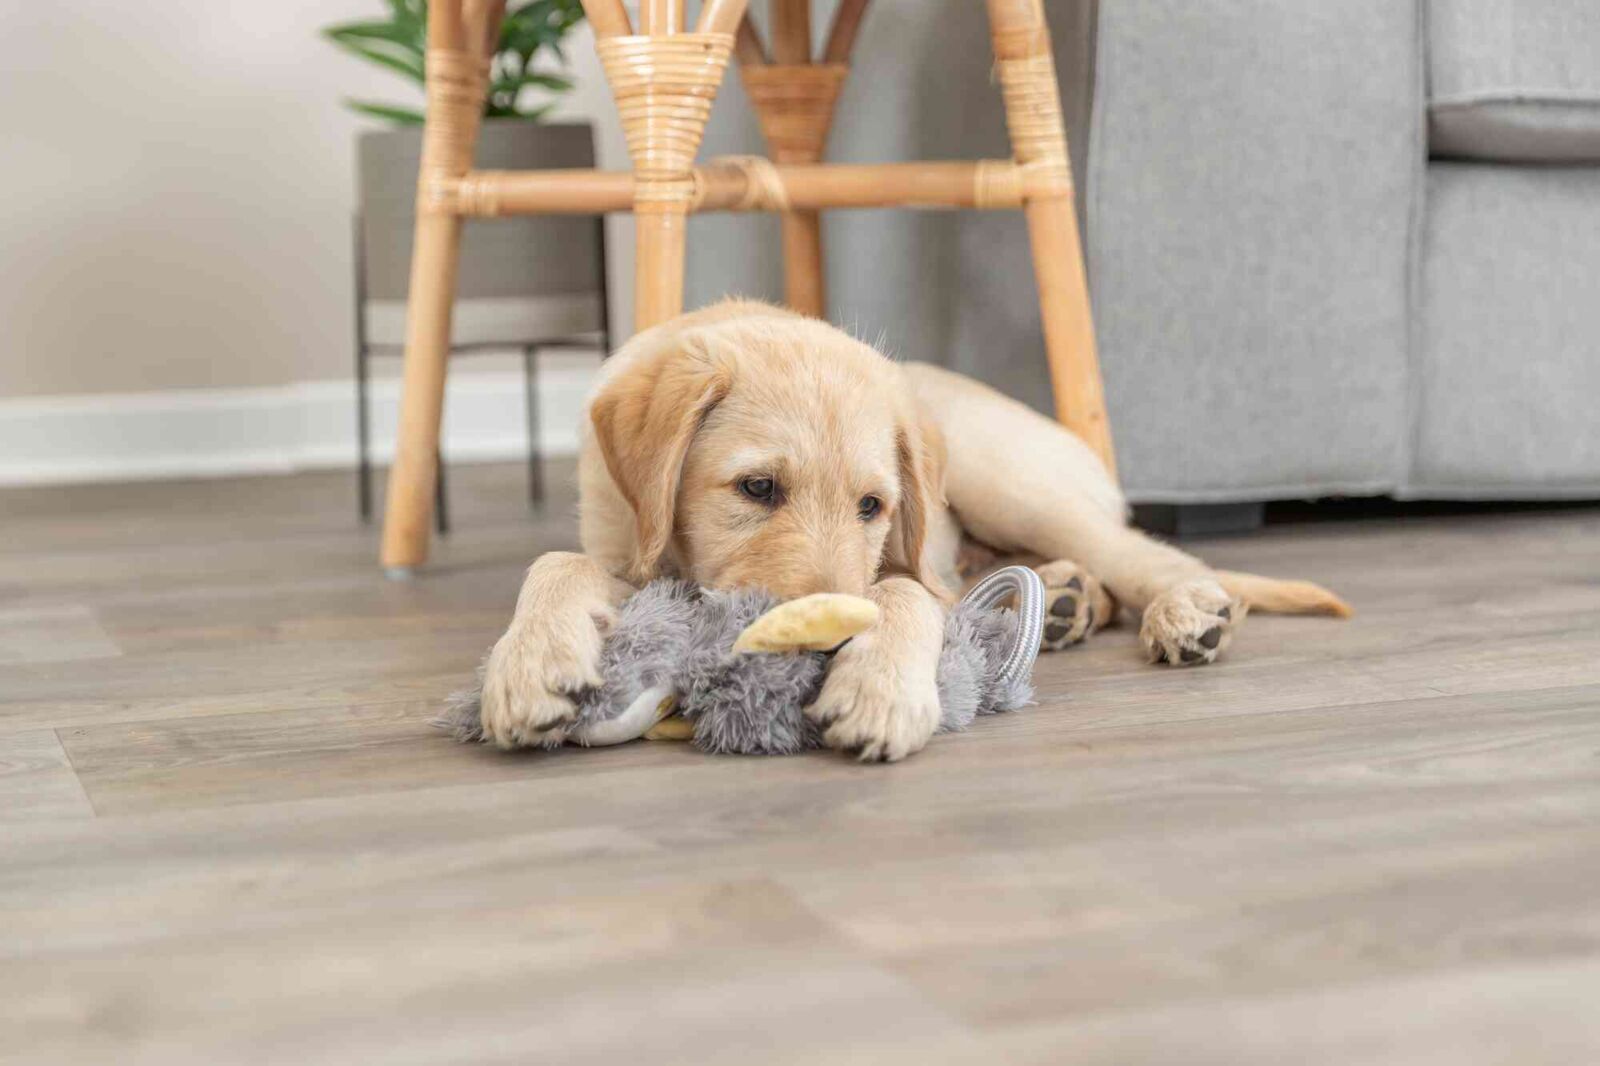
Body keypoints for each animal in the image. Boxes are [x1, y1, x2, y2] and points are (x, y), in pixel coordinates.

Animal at [478, 300, 1350, 760]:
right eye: (757, 488)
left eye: (874, 506)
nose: (825, 646)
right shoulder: (621, 544)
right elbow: (554, 562)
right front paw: (531, 667)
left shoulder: (907, 562)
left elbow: (902, 598)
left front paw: (878, 688)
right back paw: (1066, 603)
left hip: (1005, 478)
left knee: (1140, 551)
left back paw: (1185, 611)